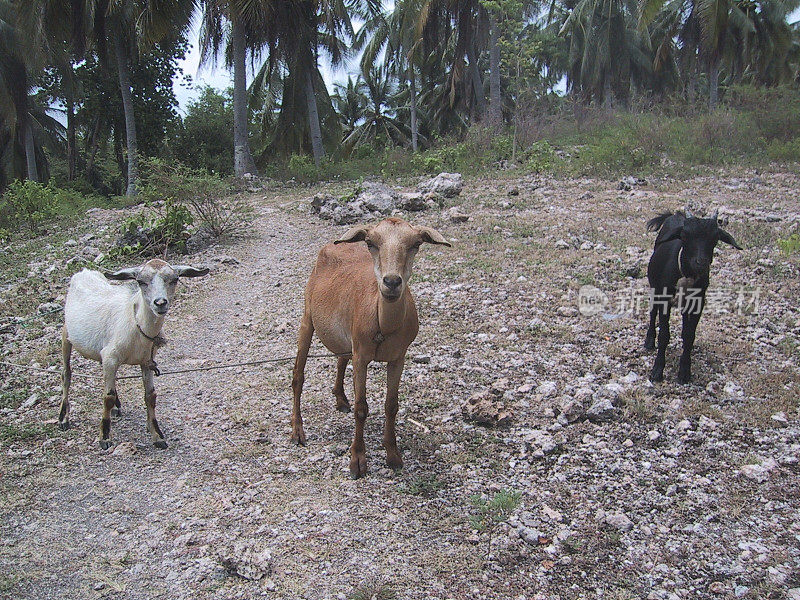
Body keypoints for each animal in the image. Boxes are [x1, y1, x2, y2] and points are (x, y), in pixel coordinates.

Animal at [61, 258, 208, 450]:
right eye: (141, 282)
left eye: (174, 279)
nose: (160, 303)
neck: (135, 324)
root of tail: (84, 271)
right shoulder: (111, 357)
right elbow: (107, 397)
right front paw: (104, 437)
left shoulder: (147, 362)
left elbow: (151, 396)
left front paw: (157, 435)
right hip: (66, 335)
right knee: (66, 375)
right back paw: (64, 418)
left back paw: (116, 407)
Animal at [290, 217, 450, 478]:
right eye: (370, 242)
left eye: (416, 244)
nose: (392, 282)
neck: (382, 326)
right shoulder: (362, 356)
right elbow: (361, 408)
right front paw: (357, 461)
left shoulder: (398, 357)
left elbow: (391, 405)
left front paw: (393, 455)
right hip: (307, 317)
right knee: (298, 376)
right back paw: (297, 431)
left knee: (341, 357)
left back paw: (340, 399)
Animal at [648, 209, 740, 382]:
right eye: (684, 235)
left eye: (715, 238)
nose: (701, 263)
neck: (687, 275)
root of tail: (675, 215)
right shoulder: (665, 299)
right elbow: (664, 334)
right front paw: (657, 369)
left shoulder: (699, 302)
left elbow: (690, 335)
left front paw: (685, 371)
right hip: (654, 287)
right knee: (652, 311)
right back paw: (649, 341)